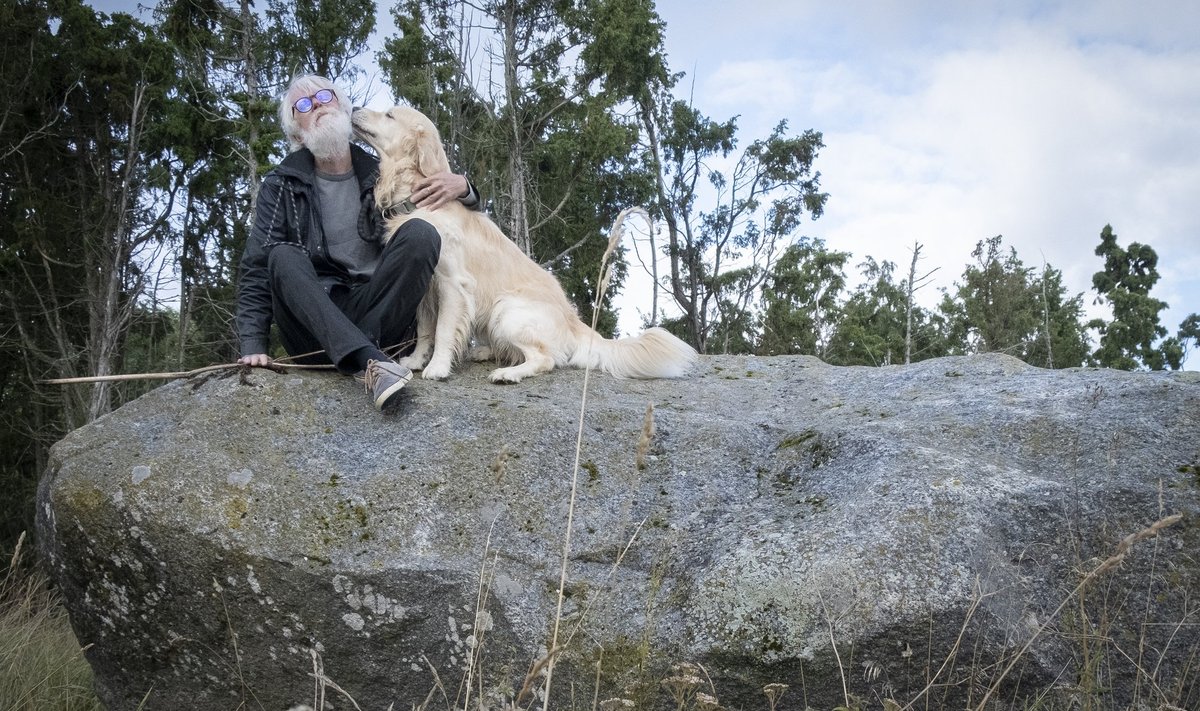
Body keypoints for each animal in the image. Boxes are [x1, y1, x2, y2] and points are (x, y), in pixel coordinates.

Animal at [348, 103, 700, 384]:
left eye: (389, 114)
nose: (353, 108)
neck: (416, 198)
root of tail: (575, 323)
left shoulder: (453, 284)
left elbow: (445, 329)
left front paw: (437, 367)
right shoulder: (426, 288)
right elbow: (424, 330)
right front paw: (416, 360)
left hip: (507, 311)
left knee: (546, 359)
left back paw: (508, 373)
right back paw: (485, 353)